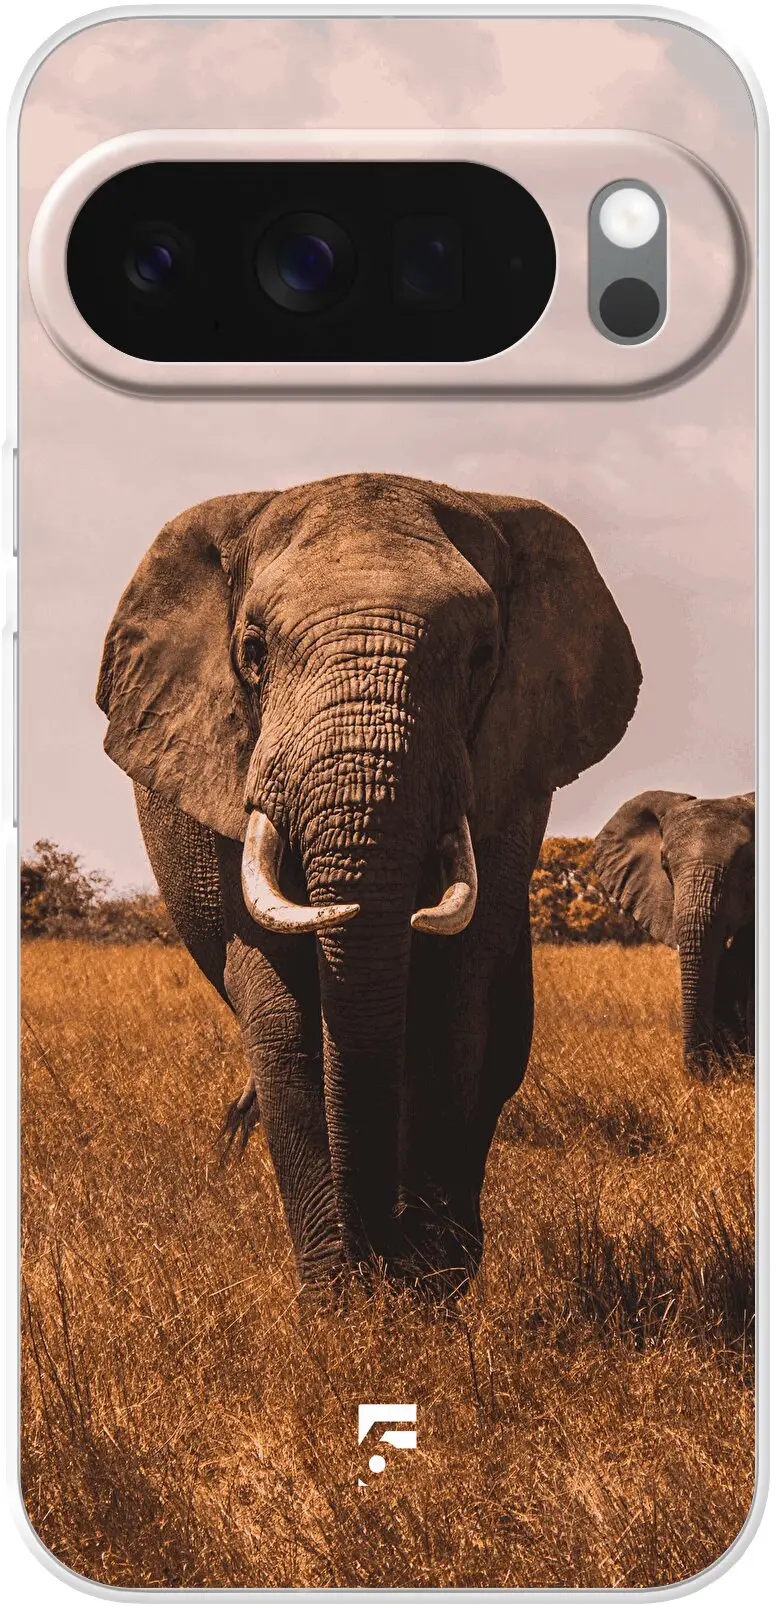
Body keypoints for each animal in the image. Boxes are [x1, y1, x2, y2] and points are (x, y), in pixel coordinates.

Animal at [98, 472, 640, 1295]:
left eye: (483, 655)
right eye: (253, 651)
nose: (379, 1255)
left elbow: (453, 1003)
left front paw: (427, 1293)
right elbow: (284, 1017)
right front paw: (340, 1302)